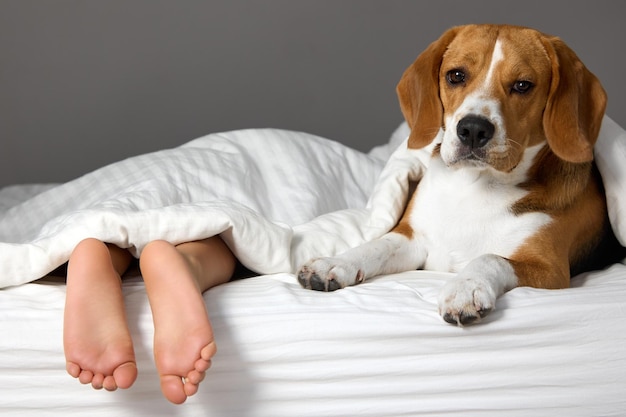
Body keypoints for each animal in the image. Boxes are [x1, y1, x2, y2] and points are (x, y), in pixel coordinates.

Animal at [294, 24, 620, 324]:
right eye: (456, 76)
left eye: (523, 85)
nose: (473, 129)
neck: (475, 186)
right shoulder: (412, 238)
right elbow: (376, 245)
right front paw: (334, 263)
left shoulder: (550, 270)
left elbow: (490, 257)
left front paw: (465, 287)